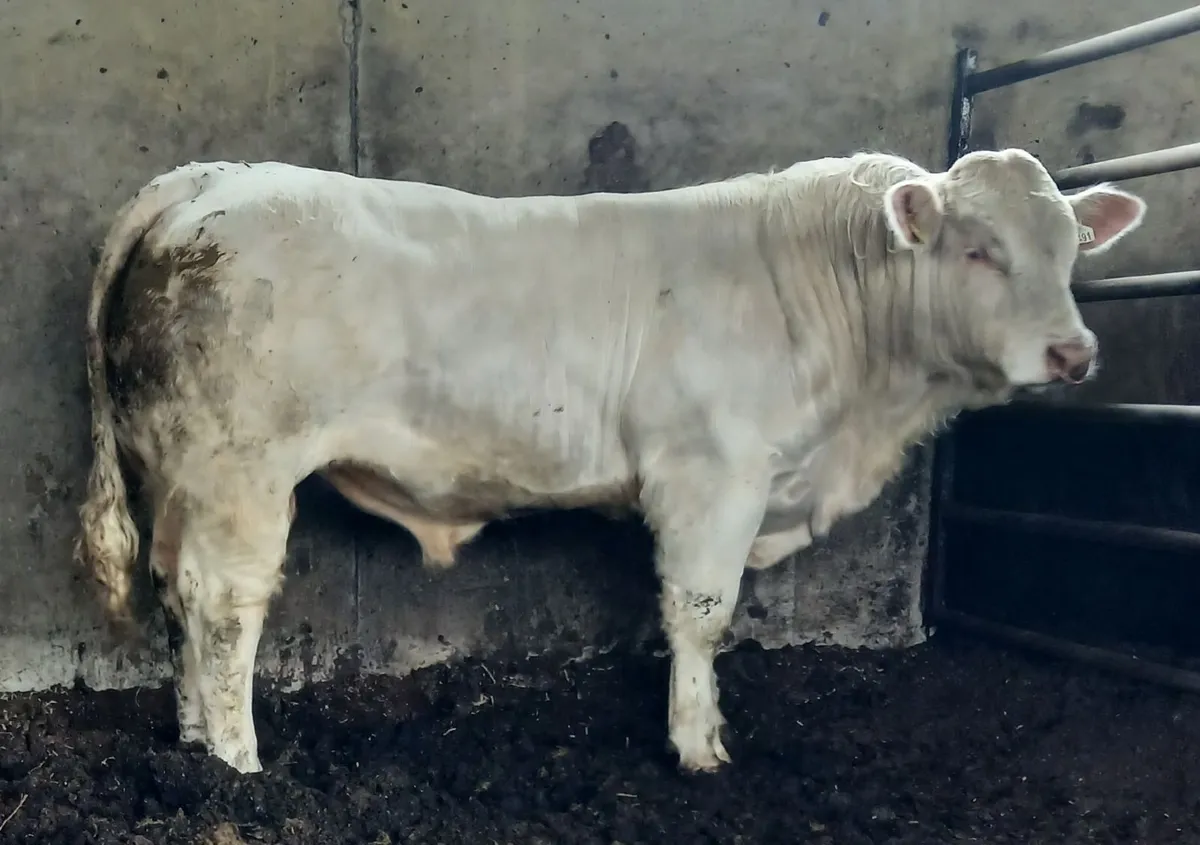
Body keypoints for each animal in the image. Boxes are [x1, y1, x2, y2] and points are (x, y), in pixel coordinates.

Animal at [75, 149, 1146, 775]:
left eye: (1071, 249)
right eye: (978, 249)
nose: (1072, 353)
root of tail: (204, 179)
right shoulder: (714, 472)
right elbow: (701, 613)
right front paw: (698, 744)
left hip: (180, 466)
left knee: (177, 590)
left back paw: (189, 737)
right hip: (243, 467)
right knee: (225, 604)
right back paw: (236, 761)